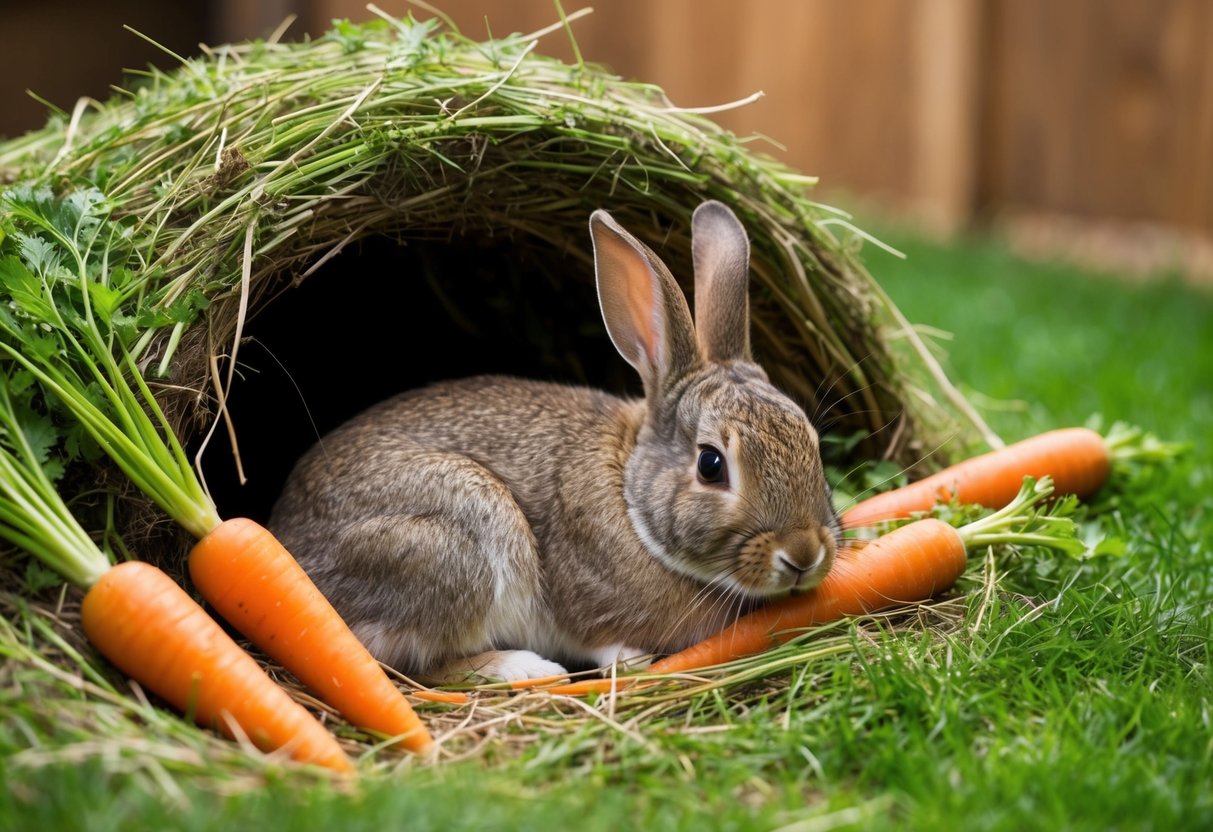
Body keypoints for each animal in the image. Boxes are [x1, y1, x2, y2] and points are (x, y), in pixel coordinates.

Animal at [268, 200, 842, 683]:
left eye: (813, 443)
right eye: (711, 465)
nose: (803, 553)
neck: (629, 495)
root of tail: (287, 541)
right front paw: (629, 659)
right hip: (460, 534)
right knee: (400, 661)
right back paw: (525, 668)